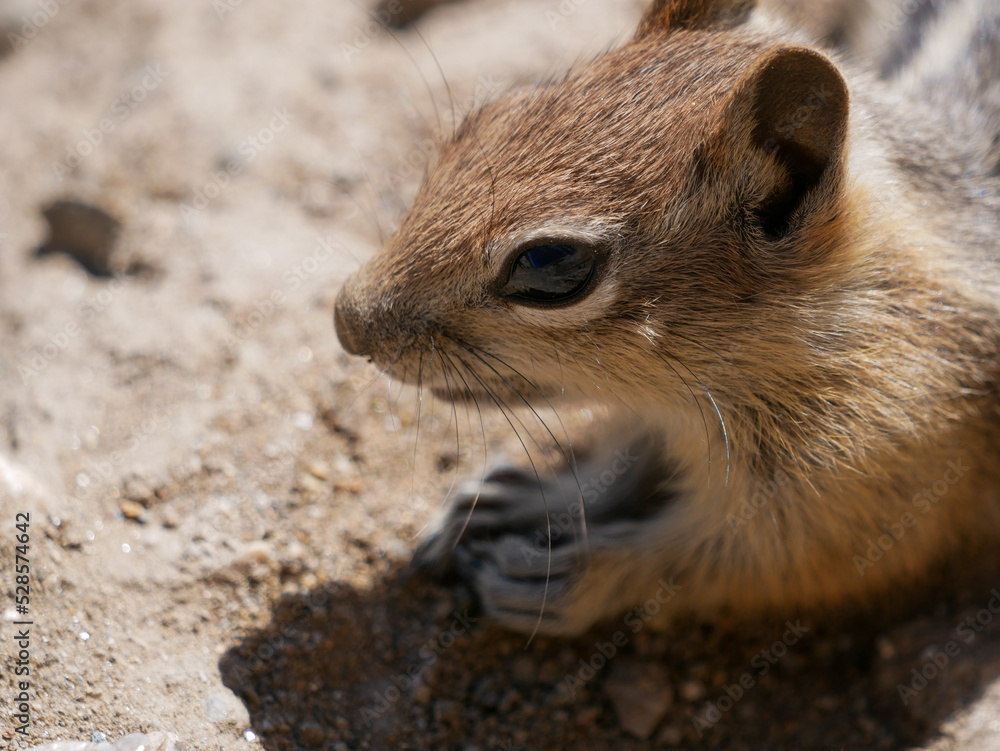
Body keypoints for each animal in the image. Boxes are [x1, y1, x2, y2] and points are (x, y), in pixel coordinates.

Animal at [334, 0, 1000, 636]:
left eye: (551, 265)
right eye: (485, 119)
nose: (347, 323)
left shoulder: (875, 475)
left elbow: (740, 563)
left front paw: (571, 577)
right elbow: (628, 457)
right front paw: (527, 497)